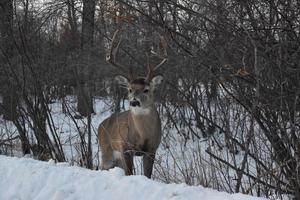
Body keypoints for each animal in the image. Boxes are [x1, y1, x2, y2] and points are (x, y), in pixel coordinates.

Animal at [98, 30, 166, 178]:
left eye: (146, 89)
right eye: (130, 89)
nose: (134, 101)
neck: (143, 136)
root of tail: (101, 125)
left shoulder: (151, 149)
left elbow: (147, 174)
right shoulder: (126, 148)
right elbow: (129, 173)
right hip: (107, 151)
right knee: (101, 167)